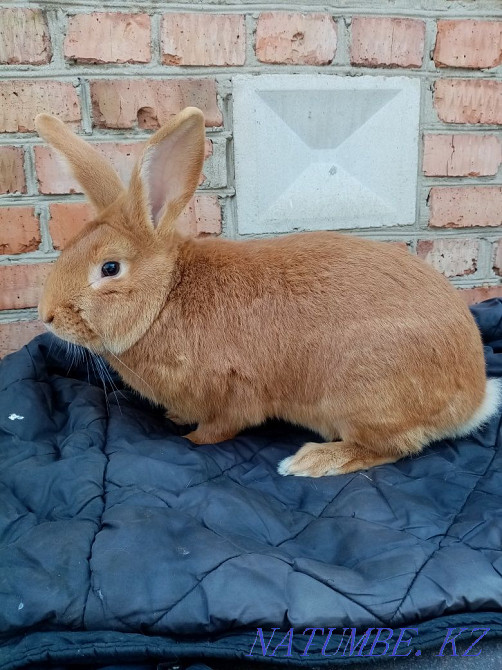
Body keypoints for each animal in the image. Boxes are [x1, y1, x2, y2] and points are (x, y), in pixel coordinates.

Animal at [36, 107, 500, 478]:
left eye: (110, 268)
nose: (46, 315)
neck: (166, 295)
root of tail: (474, 398)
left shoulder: (232, 393)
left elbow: (221, 427)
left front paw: (191, 440)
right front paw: (175, 416)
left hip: (365, 398)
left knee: (395, 447)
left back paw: (312, 461)